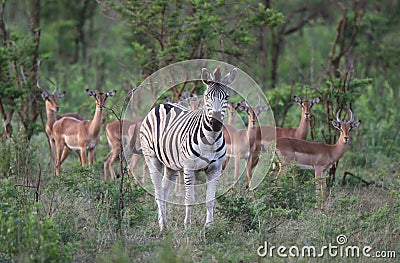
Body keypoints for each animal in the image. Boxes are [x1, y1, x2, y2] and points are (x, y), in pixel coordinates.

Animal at [139, 66, 236, 231]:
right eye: (206, 97)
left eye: (226, 97)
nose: (216, 123)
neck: (210, 139)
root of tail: (163, 104)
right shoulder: (189, 168)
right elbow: (189, 198)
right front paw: (188, 227)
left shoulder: (215, 169)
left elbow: (210, 200)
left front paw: (209, 227)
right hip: (151, 158)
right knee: (158, 191)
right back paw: (162, 226)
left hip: (171, 165)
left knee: (164, 190)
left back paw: (164, 223)